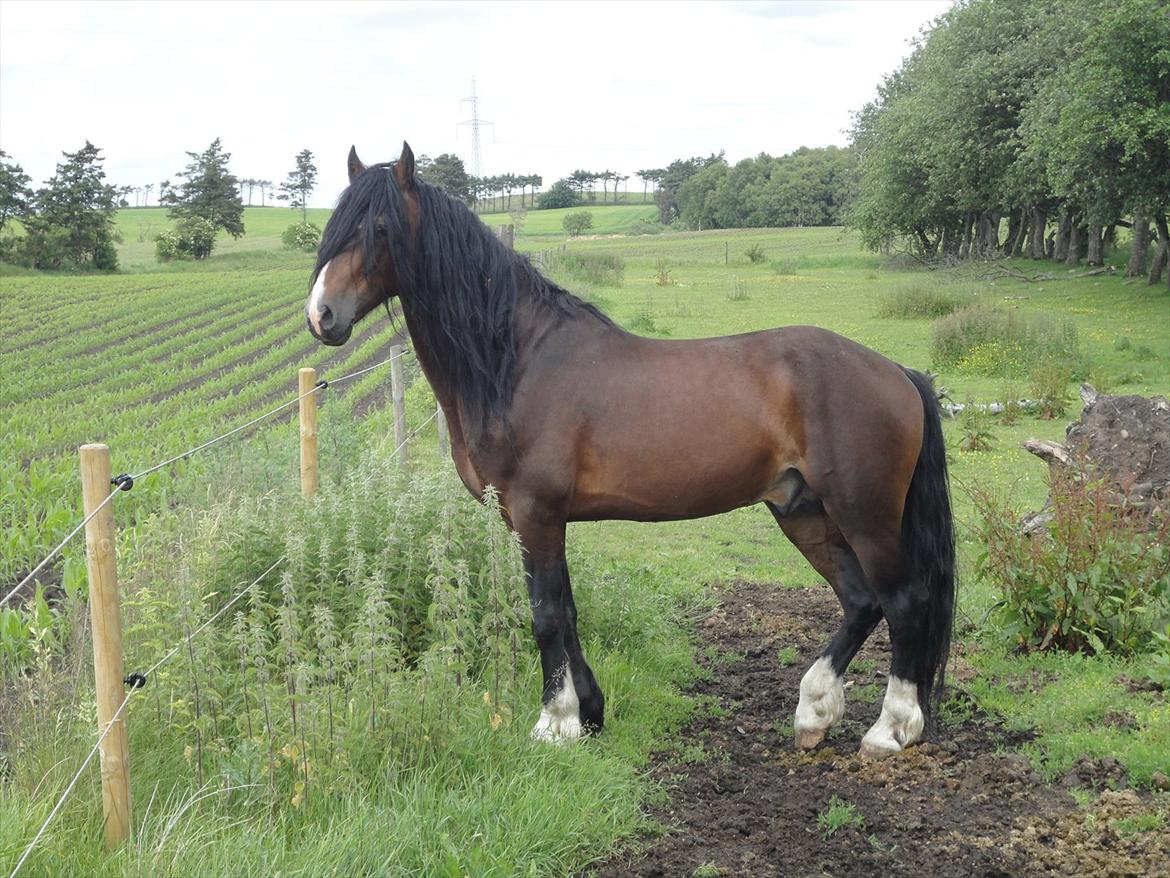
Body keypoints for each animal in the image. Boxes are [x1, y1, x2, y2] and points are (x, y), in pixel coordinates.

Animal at [306, 146, 954, 763]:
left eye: (379, 227)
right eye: (335, 226)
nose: (321, 316)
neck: (517, 362)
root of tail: (897, 372)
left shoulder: (536, 513)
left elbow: (545, 614)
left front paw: (554, 725)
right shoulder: (535, 519)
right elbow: (566, 611)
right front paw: (589, 714)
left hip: (864, 514)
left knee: (904, 602)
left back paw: (890, 730)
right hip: (803, 510)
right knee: (861, 601)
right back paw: (814, 713)